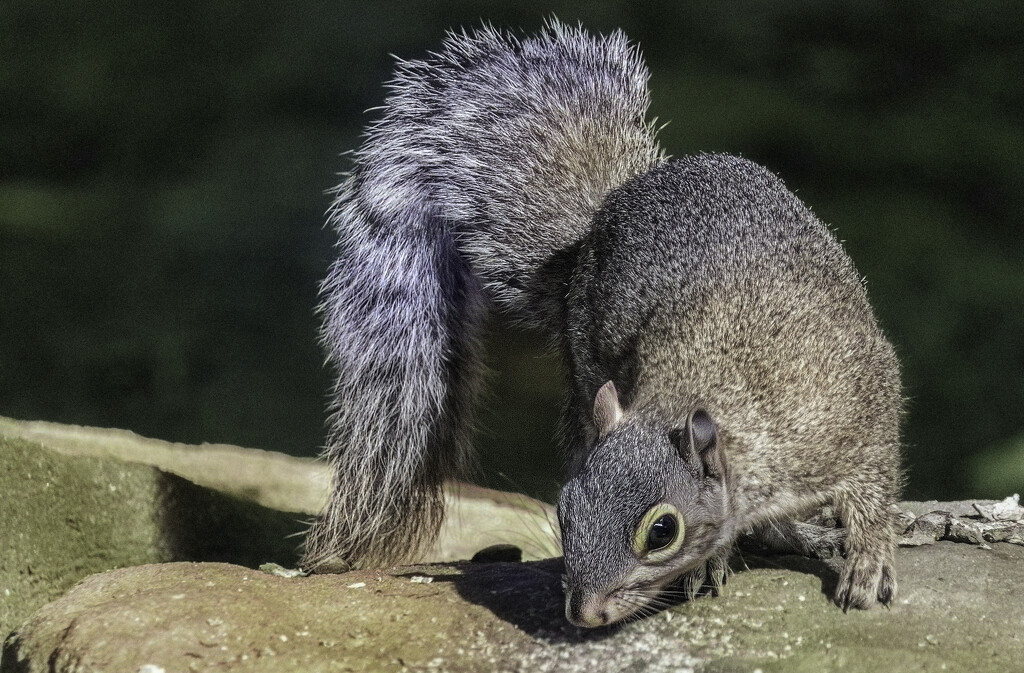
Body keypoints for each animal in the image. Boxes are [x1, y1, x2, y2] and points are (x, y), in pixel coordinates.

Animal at [303, 22, 905, 631]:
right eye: (565, 513)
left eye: (662, 531)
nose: (583, 612)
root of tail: (613, 203)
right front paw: (706, 564)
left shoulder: (854, 412)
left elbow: (872, 490)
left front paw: (869, 557)